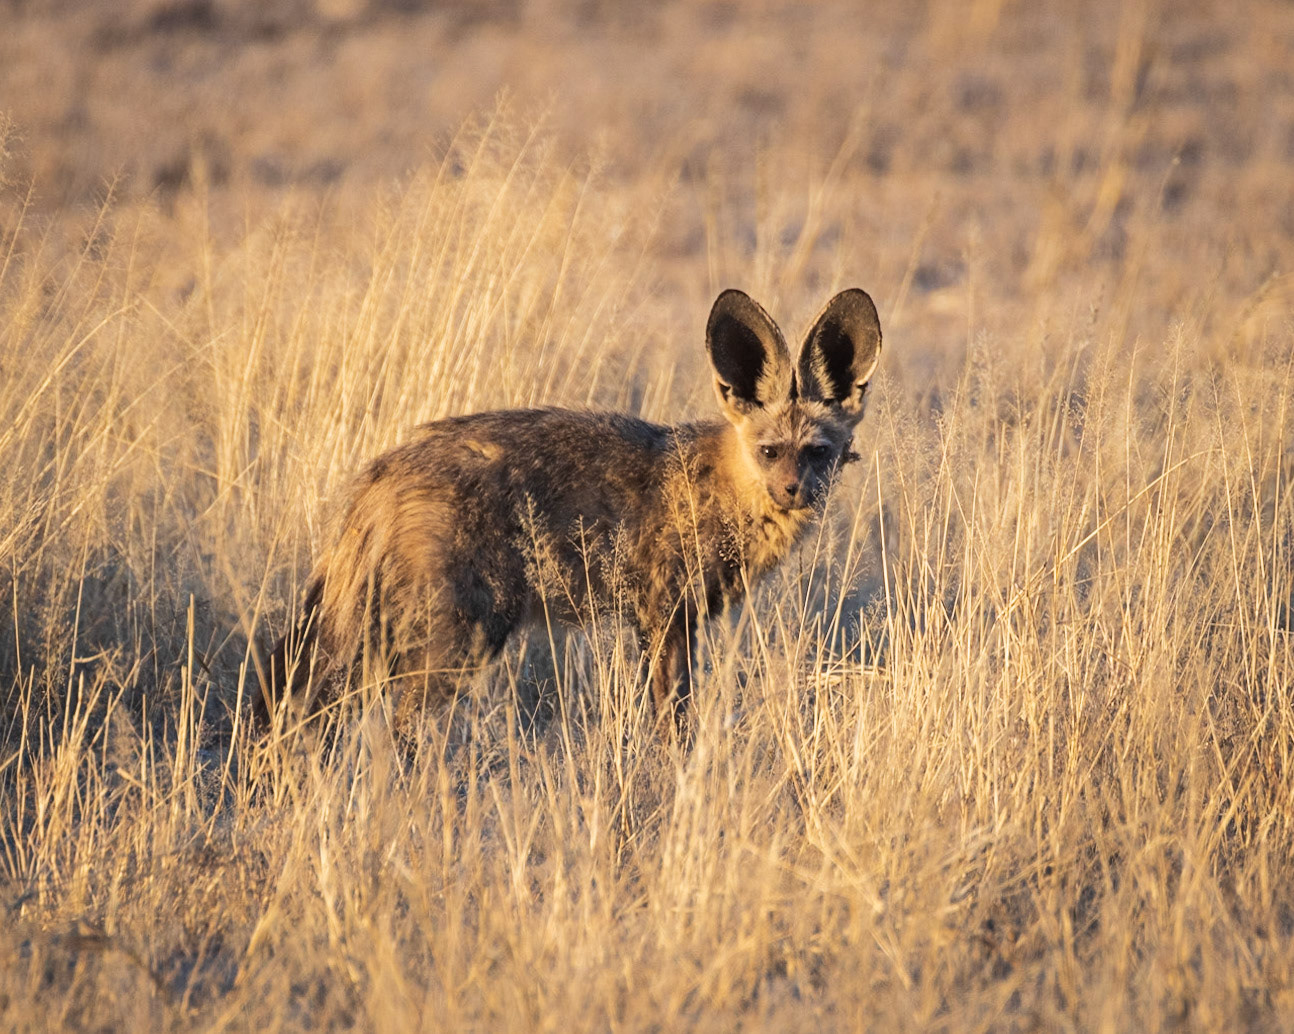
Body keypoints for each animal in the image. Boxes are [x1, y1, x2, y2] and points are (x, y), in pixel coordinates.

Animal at [257, 287, 882, 739]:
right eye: (770, 452)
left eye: (818, 452)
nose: (795, 492)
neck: (720, 485)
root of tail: (384, 468)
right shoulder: (663, 617)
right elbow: (672, 721)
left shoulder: (673, 622)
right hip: (459, 641)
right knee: (392, 729)